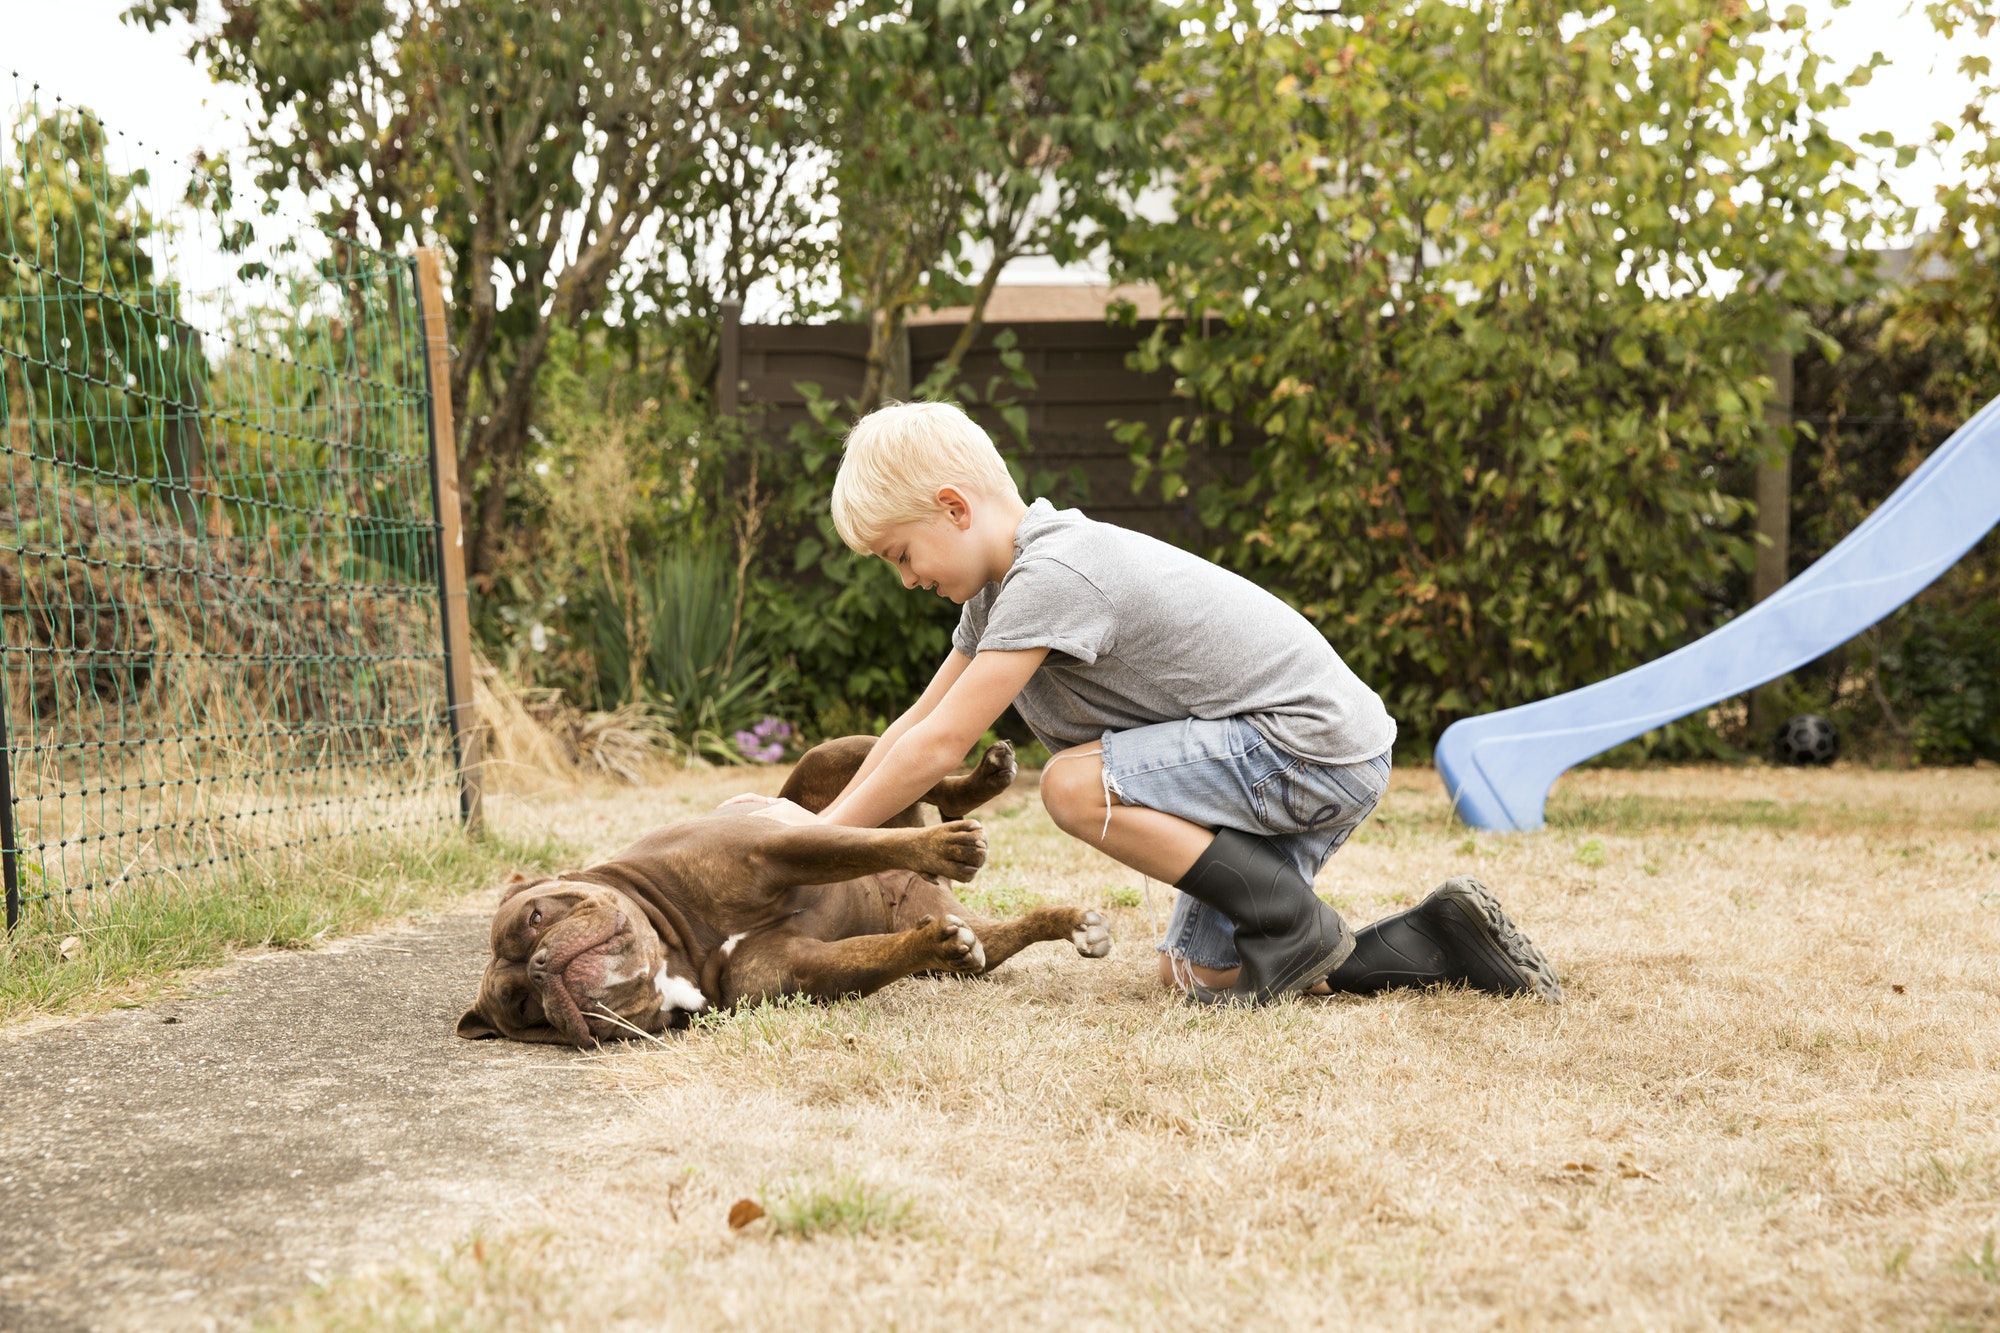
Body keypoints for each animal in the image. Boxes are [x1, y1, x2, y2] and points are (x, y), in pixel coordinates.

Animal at [454, 732, 1112, 1040]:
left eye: (535, 919)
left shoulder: (772, 850)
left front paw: (947, 846)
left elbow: (853, 847)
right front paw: (935, 943)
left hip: (836, 754)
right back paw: (1073, 923)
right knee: (993, 937)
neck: (677, 953)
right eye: (525, 1008)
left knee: (914, 771)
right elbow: (876, 955)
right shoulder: (804, 970)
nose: (541, 970)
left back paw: (979, 789)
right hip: (961, 929)